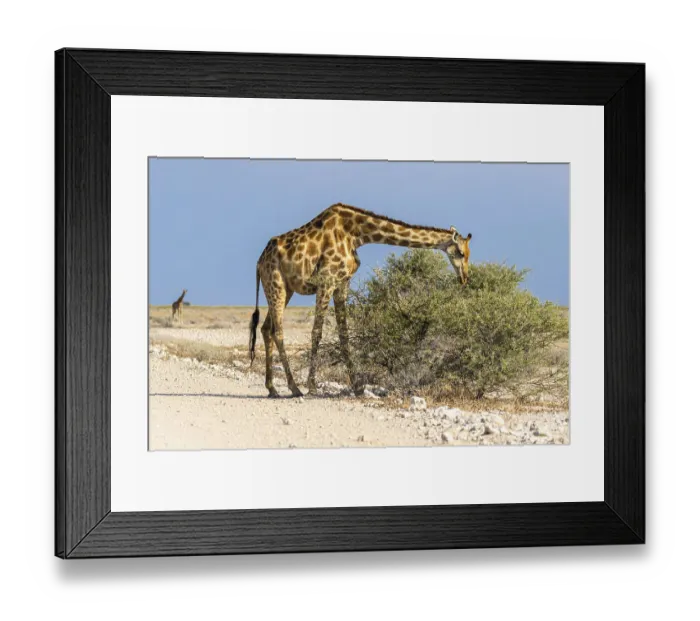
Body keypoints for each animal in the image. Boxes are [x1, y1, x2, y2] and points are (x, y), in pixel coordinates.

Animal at [248, 203, 472, 398]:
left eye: (468, 254)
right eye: (461, 253)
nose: (464, 278)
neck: (357, 234)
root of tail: (258, 262)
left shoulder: (342, 283)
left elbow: (344, 335)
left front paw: (357, 387)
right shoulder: (326, 281)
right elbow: (316, 332)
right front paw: (312, 386)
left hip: (285, 289)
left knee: (266, 329)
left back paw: (272, 388)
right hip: (276, 284)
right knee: (277, 331)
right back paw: (294, 388)